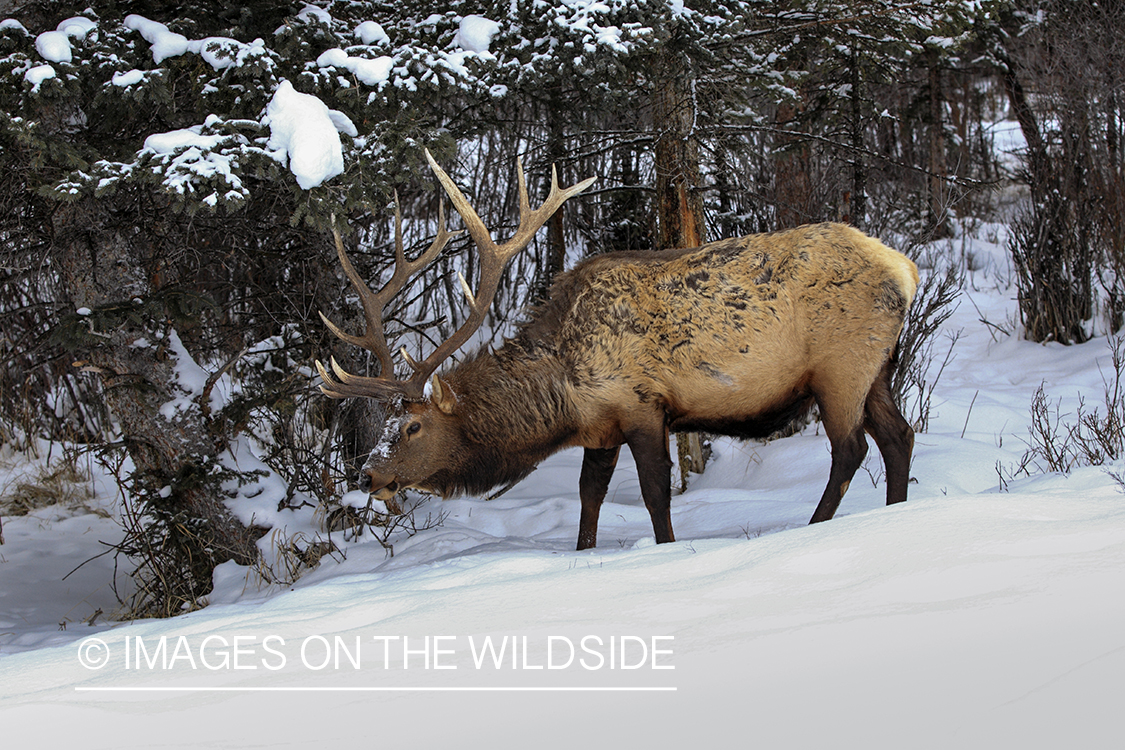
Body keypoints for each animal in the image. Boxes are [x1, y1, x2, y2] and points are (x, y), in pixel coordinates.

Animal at [317, 152, 913, 550]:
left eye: (413, 426)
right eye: (384, 425)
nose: (366, 476)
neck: (563, 393)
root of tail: (905, 270)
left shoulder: (641, 404)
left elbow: (654, 492)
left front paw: (666, 548)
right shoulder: (600, 429)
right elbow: (589, 496)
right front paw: (584, 553)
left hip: (841, 366)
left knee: (851, 449)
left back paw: (816, 526)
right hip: (878, 368)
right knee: (898, 437)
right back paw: (897, 511)